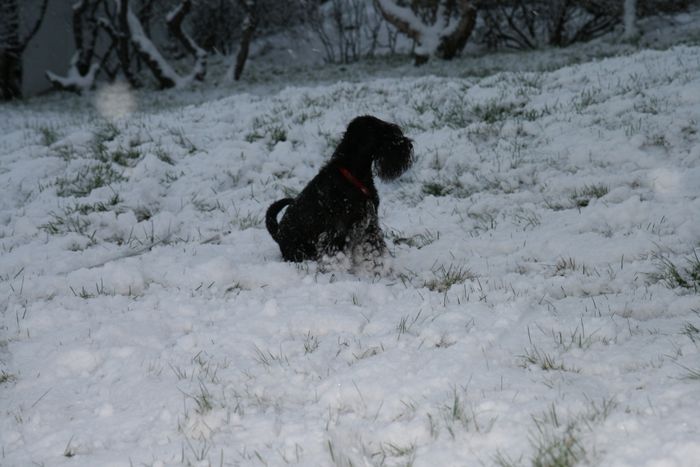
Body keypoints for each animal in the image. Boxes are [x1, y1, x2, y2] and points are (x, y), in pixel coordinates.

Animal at [266, 114, 412, 264]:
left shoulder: (369, 225)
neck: (354, 175)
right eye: (387, 132)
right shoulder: (338, 230)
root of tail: (278, 233)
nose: (408, 144)